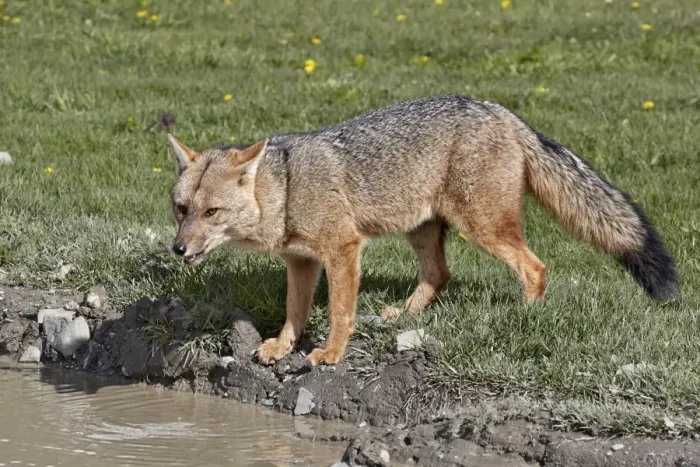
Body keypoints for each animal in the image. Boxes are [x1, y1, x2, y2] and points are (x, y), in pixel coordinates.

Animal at [166, 94, 677, 367]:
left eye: (211, 213)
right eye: (181, 209)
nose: (178, 249)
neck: (287, 189)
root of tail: (500, 110)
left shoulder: (343, 250)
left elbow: (340, 313)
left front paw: (331, 353)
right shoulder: (302, 261)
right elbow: (295, 312)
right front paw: (280, 346)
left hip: (483, 228)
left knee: (534, 267)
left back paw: (525, 316)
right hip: (422, 229)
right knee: (438, 275)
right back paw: (403, 317)